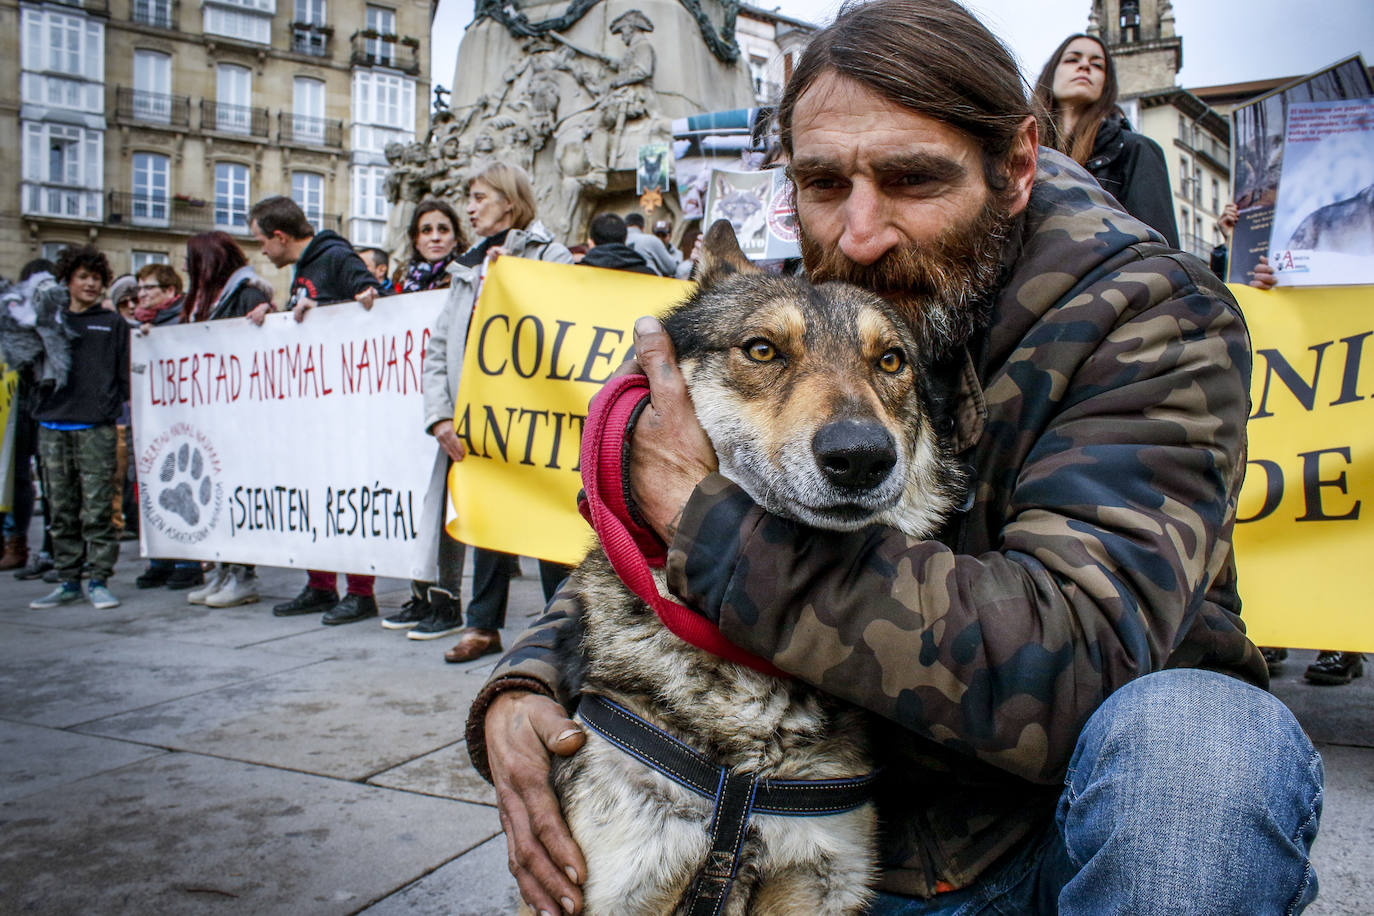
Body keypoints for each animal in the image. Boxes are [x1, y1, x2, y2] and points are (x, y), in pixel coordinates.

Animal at [544, 221, 967, 915]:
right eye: (763, 350)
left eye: (890, 361)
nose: (860, 456)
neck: (746, 772)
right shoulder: (626, 885)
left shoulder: (824, 880)